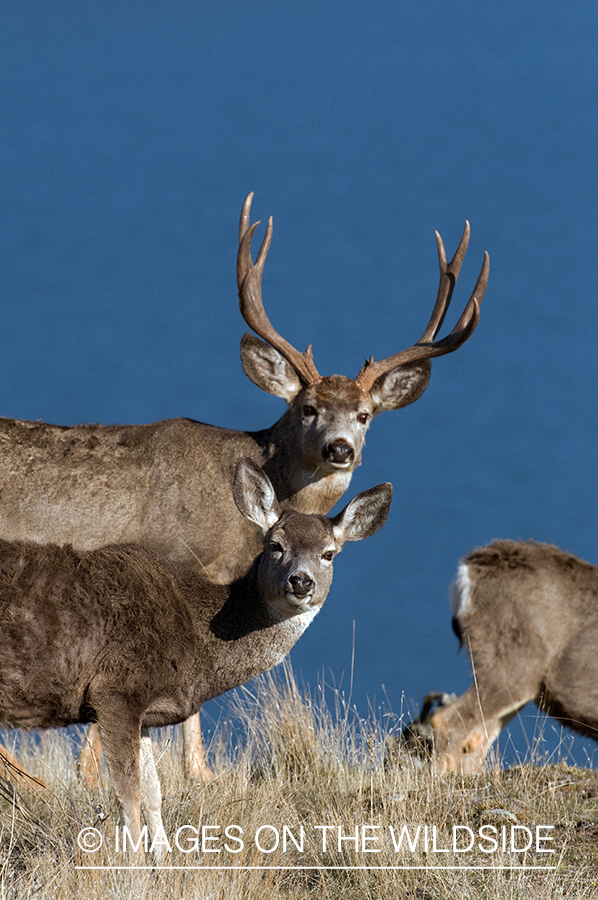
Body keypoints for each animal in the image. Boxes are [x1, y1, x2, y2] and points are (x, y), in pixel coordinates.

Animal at [0, 458, 392, 862]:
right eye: (275, 545)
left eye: (329, 553)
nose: (301, 581)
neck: (197, 646)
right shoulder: (115, 691)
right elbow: (129, 796)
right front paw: (134, 867)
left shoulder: (146, 711)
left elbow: (154, 794)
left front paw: (164, 862)